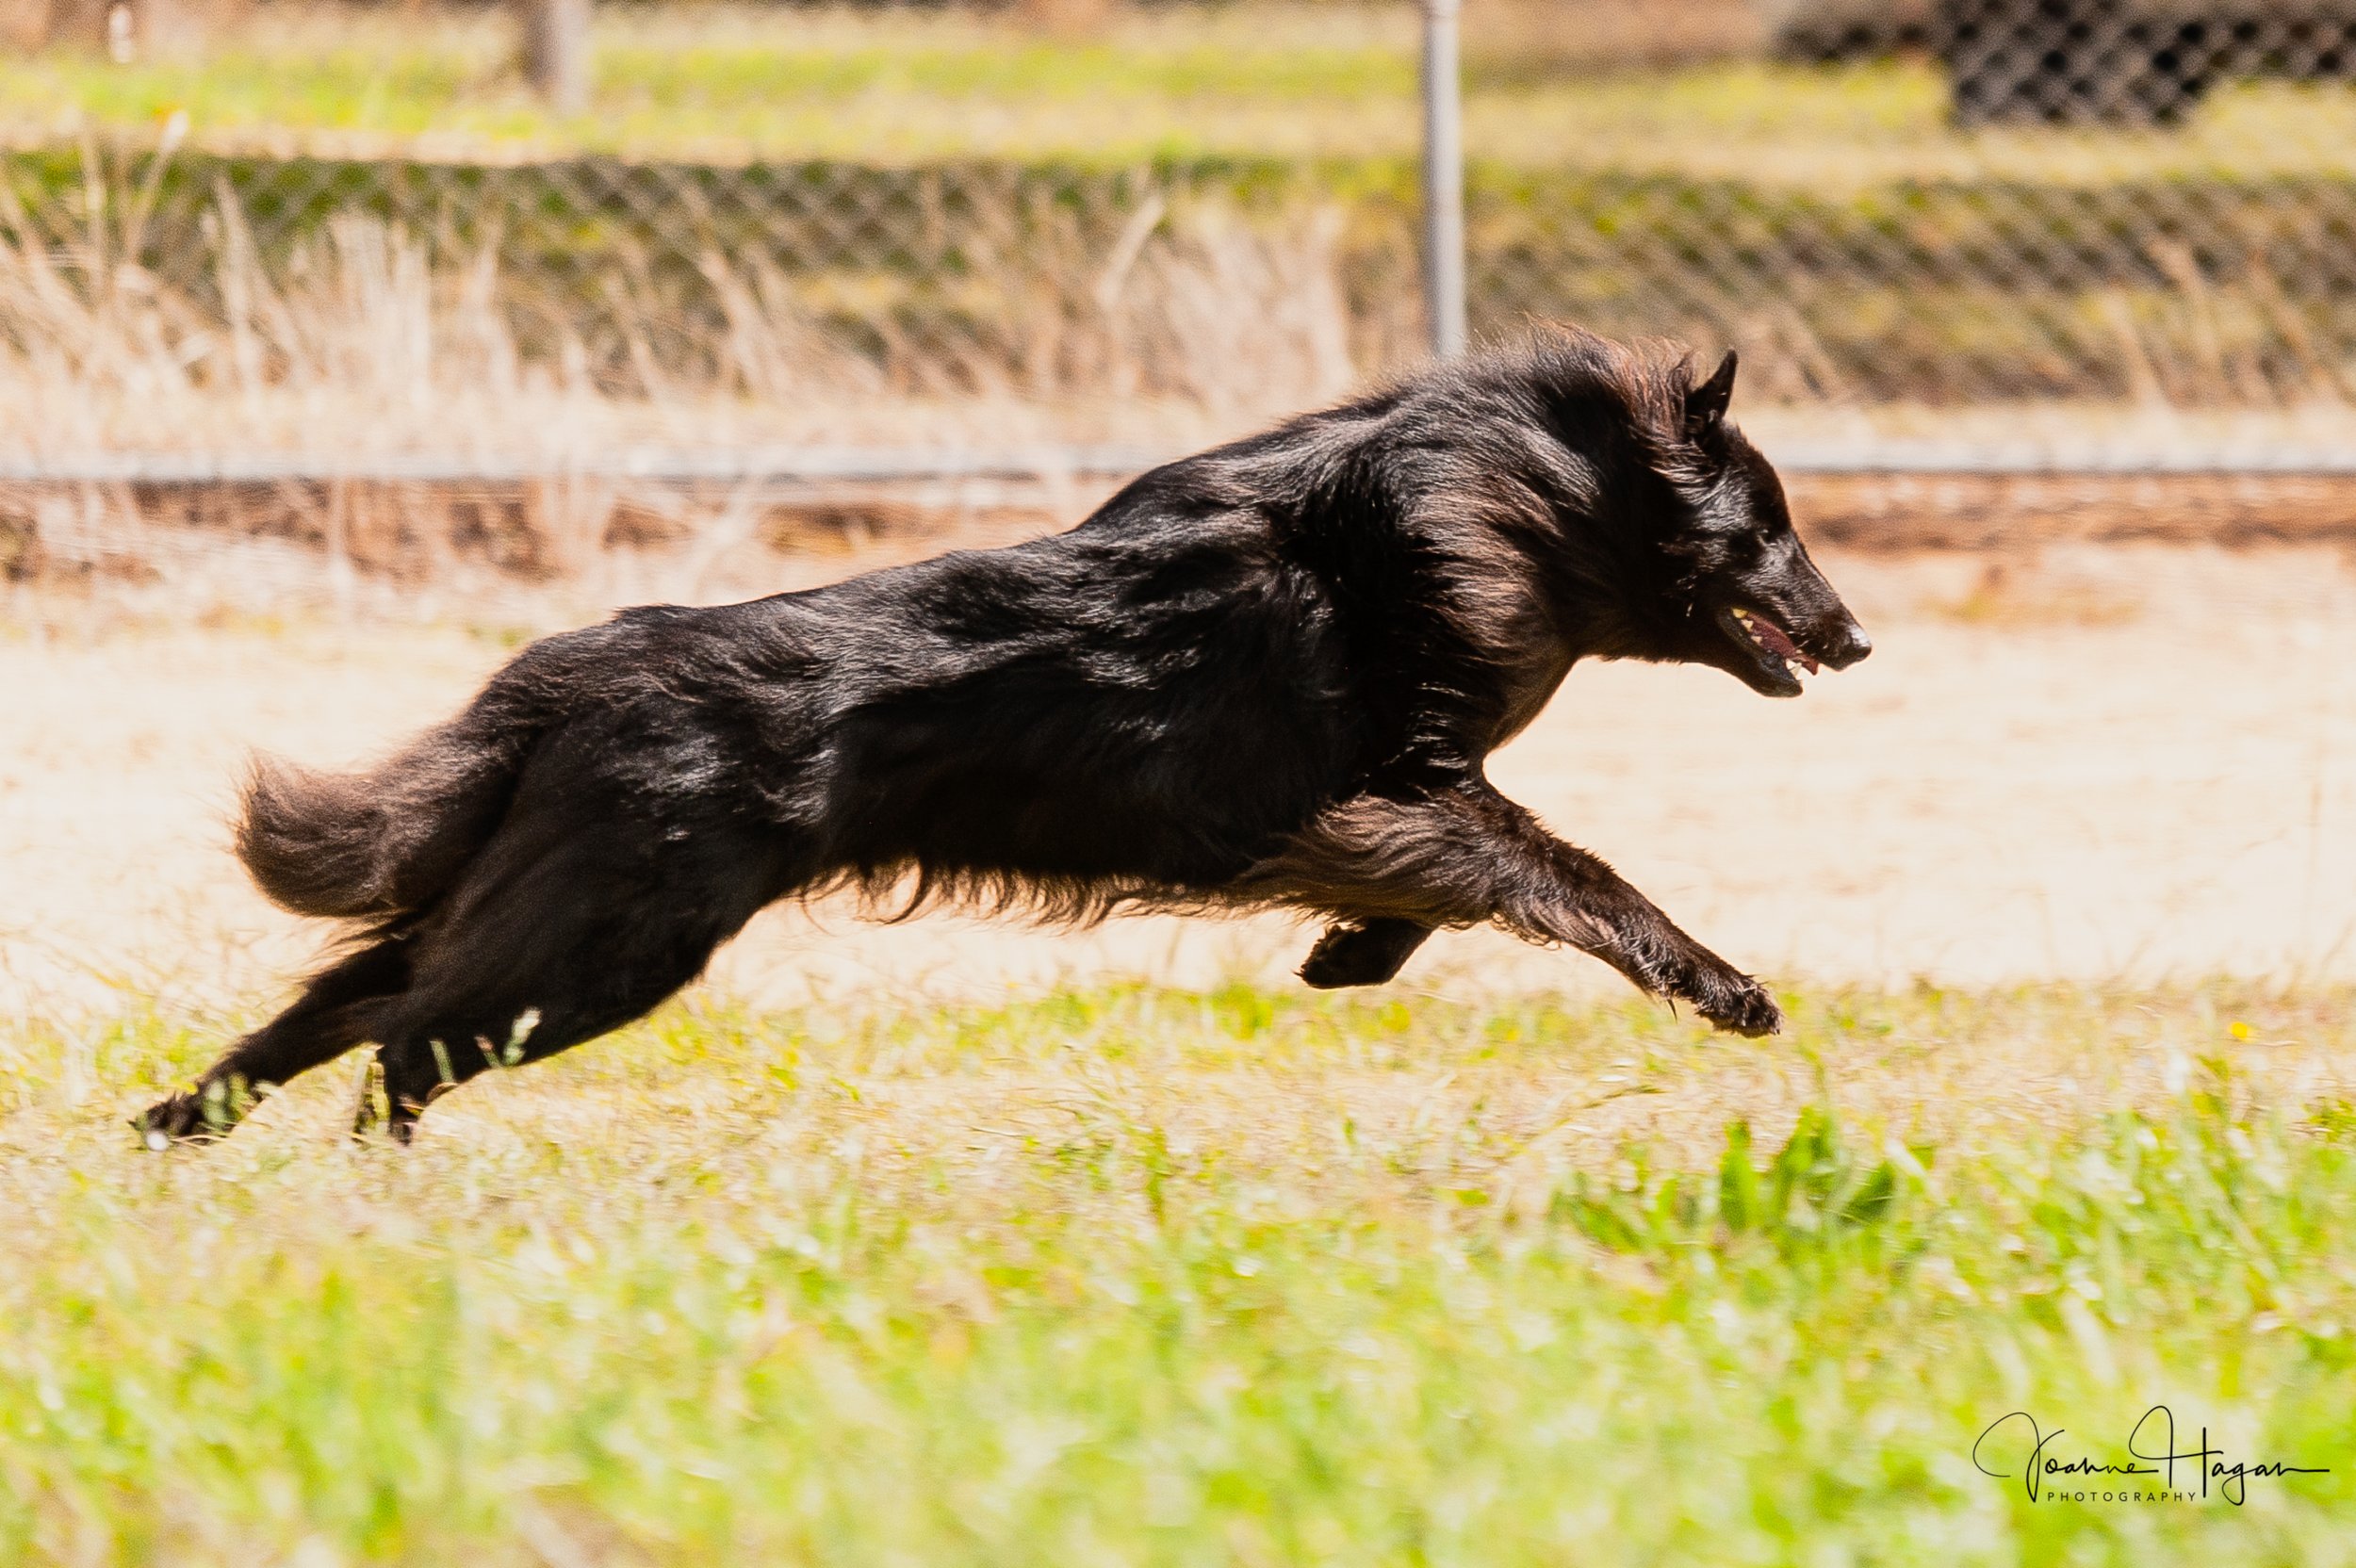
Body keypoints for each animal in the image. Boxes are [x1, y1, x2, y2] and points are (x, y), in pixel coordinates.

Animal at [142, 327, 1875, 1135]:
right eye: (1774, 531)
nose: (1860, 636)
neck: (1511, 495)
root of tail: (582, 668)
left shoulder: (1378, 804)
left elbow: (1466, 889)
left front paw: (1342, 958)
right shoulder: (1373, 791)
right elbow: (1571, 875)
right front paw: (1730, 991)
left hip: (529, 913)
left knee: (334, 1005)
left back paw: (177, 1127)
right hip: (599, 949)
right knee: (400, 1044)